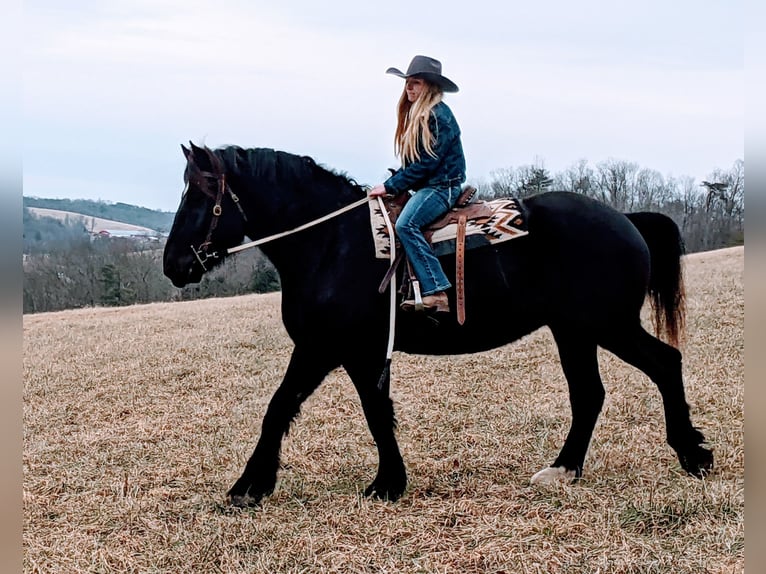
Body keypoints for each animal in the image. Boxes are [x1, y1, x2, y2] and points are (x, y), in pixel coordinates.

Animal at [162, 144, 712, 508]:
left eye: (201, 196)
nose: (173, 264)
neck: (333, 243)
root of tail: (625, 217)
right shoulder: (351, 353)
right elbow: (367, 412)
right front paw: (387, 481)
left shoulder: (329, 349)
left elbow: (290, 409)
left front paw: (249, 487)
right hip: (575, 331)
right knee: (590, 394)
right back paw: (563, 470)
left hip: (607, 325)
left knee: (665, 363)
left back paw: (693, 454)